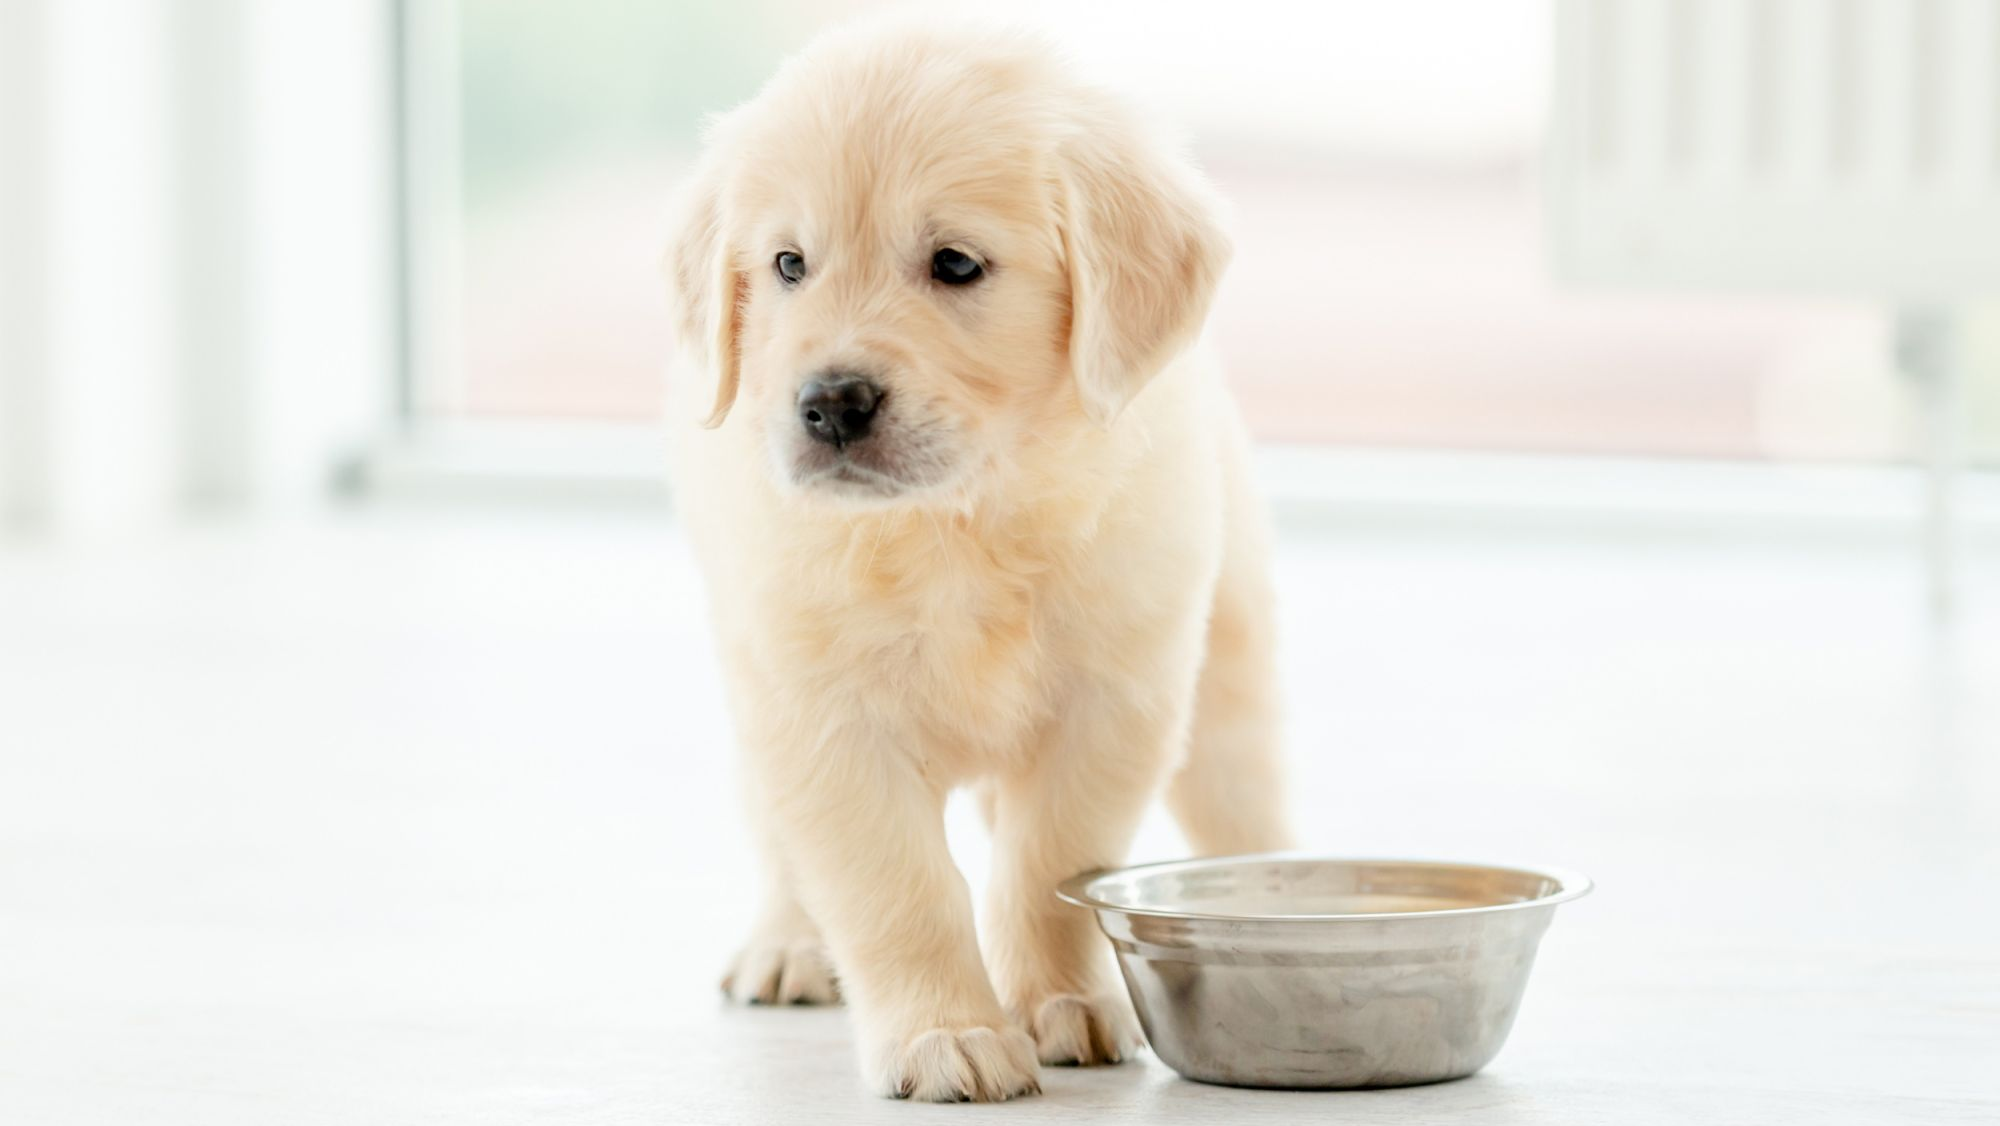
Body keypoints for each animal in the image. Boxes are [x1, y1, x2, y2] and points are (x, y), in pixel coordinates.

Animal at [668, 22, 1296, 1104]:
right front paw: (944, 1031)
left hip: (1227, 673)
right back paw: (788, 944)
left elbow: (1049, 866)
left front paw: (1058, 997)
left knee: (1241, 793)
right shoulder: (823, 718)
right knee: (778, 836)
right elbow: (896, 888)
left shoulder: (1109, 704)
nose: (829, 403)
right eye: (788, 264)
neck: (955, 522)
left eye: (955, 263)